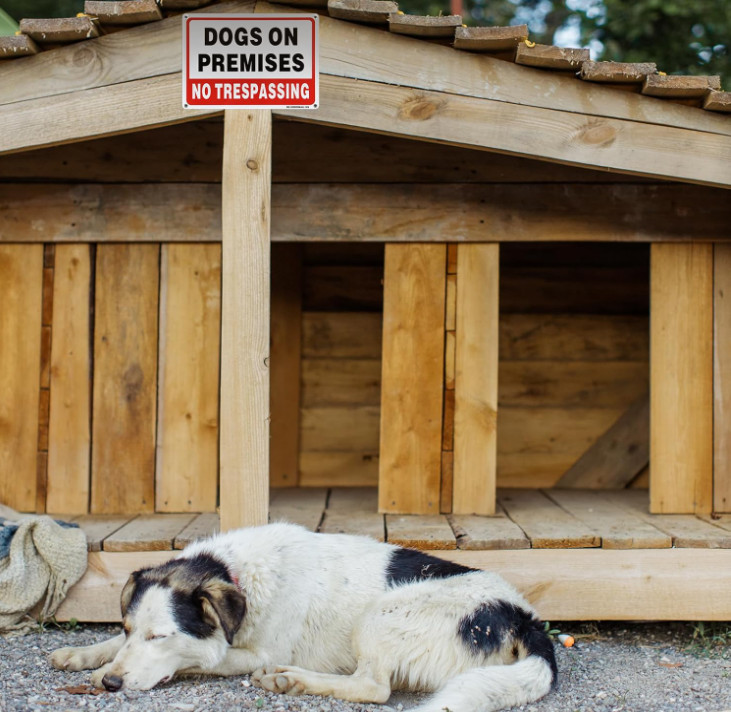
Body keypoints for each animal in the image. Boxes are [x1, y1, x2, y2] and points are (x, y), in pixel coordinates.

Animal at [50, 522, 556, 712]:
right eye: (131, 628)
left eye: (161, 637)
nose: (111, 685)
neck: (237, 574)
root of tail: (525, 617)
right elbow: (111, 646)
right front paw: (81, 654)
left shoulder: (253, 651)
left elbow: (206, 657)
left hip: (381, 614)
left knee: (373, 687)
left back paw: (291, 679)